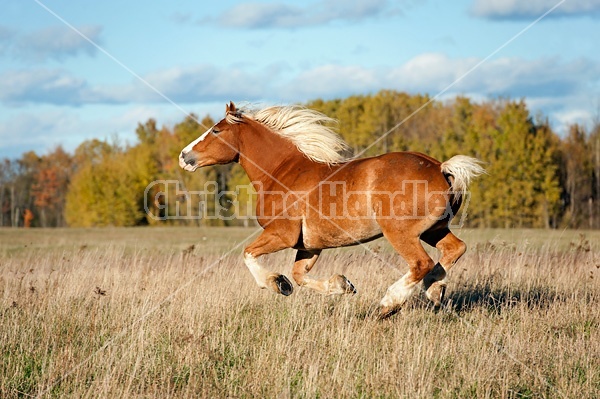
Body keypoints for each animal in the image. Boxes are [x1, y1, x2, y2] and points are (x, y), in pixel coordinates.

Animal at [180, 102, 486, 318]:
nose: (184, 156)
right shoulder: (310, 245)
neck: (281, 173)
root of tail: (441, 167)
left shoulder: (282, 234)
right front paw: (341, 285)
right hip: (434, 229)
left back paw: (388, 304)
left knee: (421, 264)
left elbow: (248, 255)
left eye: (216, 130)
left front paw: (276, 284)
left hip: (401, 233)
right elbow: (299, 276)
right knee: (454, 250)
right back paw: (434, 290)